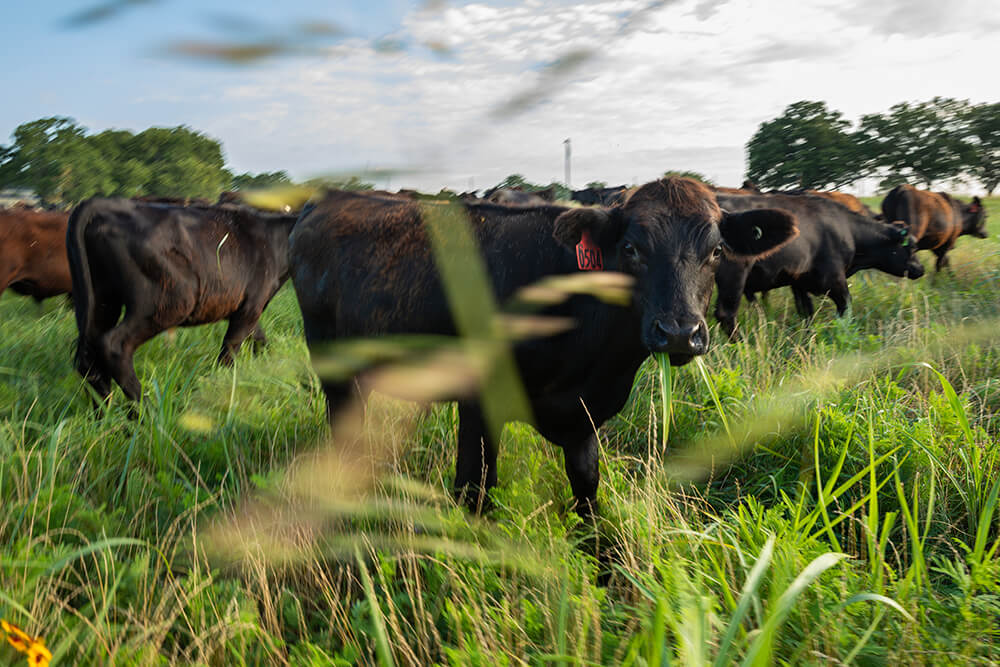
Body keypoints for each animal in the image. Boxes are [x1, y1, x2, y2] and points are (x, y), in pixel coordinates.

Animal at [68, 198, 296, 404]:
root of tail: (111, 205)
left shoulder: (242, 308)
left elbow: (260, 339)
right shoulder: (251, 306)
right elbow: (229, 352)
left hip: (102, 301)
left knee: (88, 360)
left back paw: (107, 415)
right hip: (170, 301)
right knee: (114, 346)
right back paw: (148, 413)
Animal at [288, 180, 796, 520]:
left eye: (717, 251)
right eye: (631, 248)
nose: (678, 332)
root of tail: (328, 199)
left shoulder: (584, 416)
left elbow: (588, 491)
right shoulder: (478, 402)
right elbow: (473, 490)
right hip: (330, 360)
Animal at [716, 193, 924, 340]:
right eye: (912, 247)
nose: (921, 269)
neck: (847, 229)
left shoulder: (798, 281)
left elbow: (806, 312)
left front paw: (807, 337)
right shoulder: (834, 278)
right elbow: (845, 307)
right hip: (733, 277)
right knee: (725, 315)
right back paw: (743, 344)